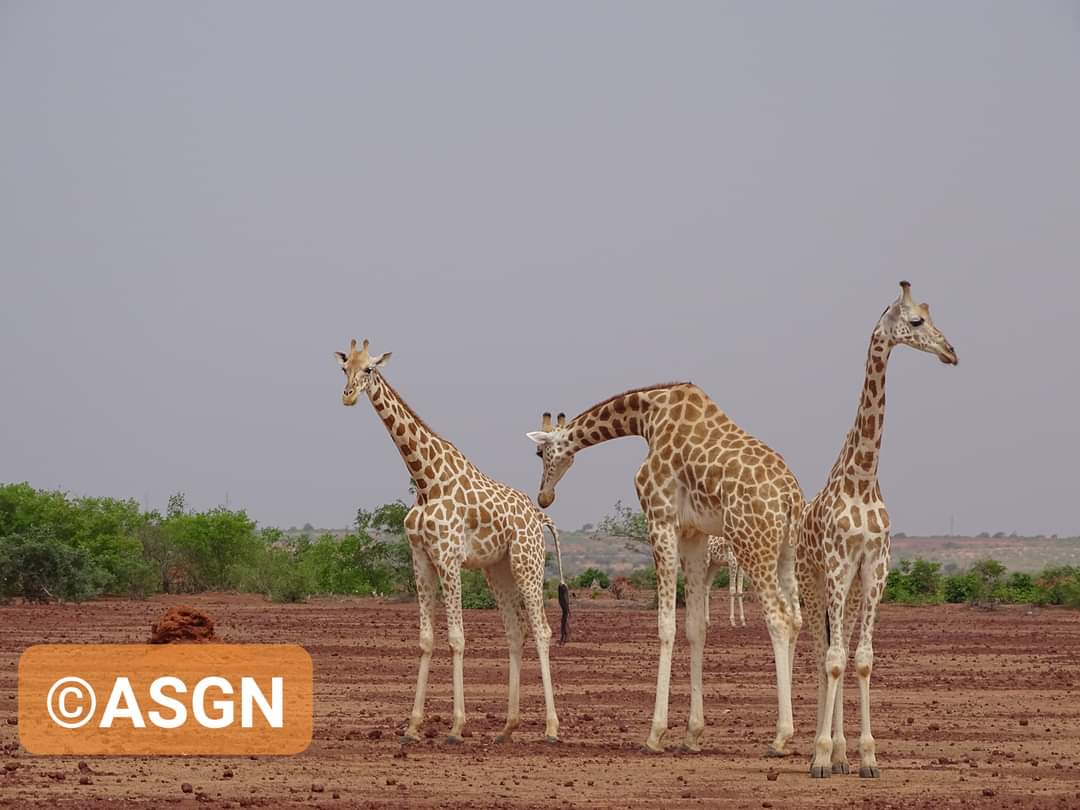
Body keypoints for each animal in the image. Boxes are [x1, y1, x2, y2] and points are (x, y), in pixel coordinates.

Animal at [335, 339, 570, 744]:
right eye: (343, 366)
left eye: (370, 369)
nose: (348, 396)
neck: (426, 480)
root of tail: (539, 516)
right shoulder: (420, 557)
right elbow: (427, 639)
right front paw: (412, 726)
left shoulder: (447, 556)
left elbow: (457, 638)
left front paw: (457, 726)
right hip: (498, 569)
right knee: (516, 632)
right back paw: (507, 727)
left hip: (528, 561)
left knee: (541, 630)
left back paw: (552, 728)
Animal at [526, 391, 804, 754]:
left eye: (539, 452)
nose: (544, 496)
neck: (646, 417)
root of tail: (790, 498)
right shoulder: (694, 532)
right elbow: (696, 627)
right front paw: (693, 734)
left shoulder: (660, 519)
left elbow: (666, 626)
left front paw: (655, 734)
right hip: (786, 550)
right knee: (797, 619)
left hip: (752, 543)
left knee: (779, 619)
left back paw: (781, 735)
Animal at [798, 282, 957, 778]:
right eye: (916, 320)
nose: (951, 352)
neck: (864, 476)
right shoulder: (835, 565)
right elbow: (832, 660)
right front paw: (820, 757)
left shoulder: (875, 567)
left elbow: (862, 660)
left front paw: (866, 756)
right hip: (812, 583)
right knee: (820, 656)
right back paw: (820, 753)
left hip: (847, 591)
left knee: (841, 650)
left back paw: (842, 755)